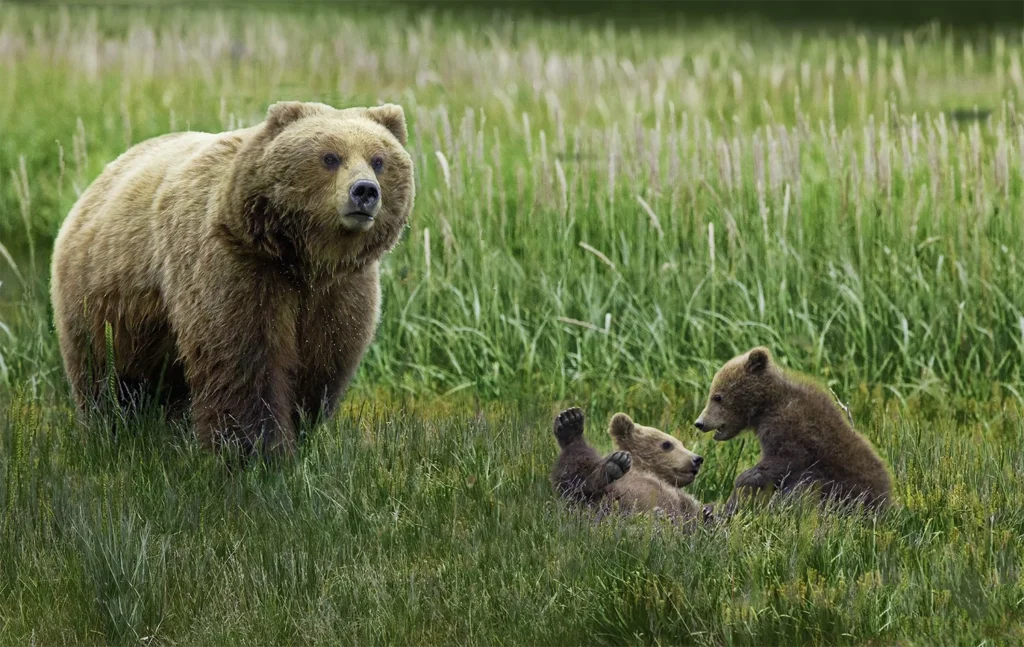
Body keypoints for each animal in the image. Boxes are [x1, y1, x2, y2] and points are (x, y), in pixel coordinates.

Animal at [50, 100, 415, 458]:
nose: (365, 191)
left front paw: (297, 431)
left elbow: (323, 361)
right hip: (106, 302)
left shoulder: (340, 290)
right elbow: (244, 359)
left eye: (379, 160)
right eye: (330, 157)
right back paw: (111, 428)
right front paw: (257, 450)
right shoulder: (238, 267)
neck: (303, 260)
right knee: (105, 371)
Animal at [550, 407, 708, 523]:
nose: (697, 459)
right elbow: (575, 473)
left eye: (682, 444)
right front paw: (570, 421)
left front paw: (708, 512)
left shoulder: (682, 499)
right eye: (667, 444)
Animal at [694, 347, 892, 515]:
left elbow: (783, 461)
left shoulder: (791, 428)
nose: (700, 423)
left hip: (840, 490)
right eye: (713, 393)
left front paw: (739, 489)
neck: (766, 405)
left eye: (717, 396)